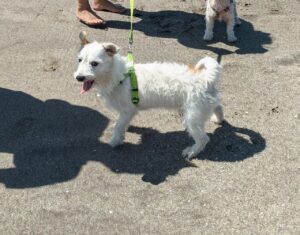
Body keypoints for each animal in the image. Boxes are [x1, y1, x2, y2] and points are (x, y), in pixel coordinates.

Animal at [74, 31, 224, 160]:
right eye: (80, 60)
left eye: (94, 63)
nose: (79, 77)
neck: (118, 75)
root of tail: (205, 77)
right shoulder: (127, 112)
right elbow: (122, 123)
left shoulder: (127, 110)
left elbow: (118, 125)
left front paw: (116, 140)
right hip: (205, 104)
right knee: (218, 106)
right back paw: (218, 119)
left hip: (193, 117)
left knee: (203, 138)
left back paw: (192, 151)